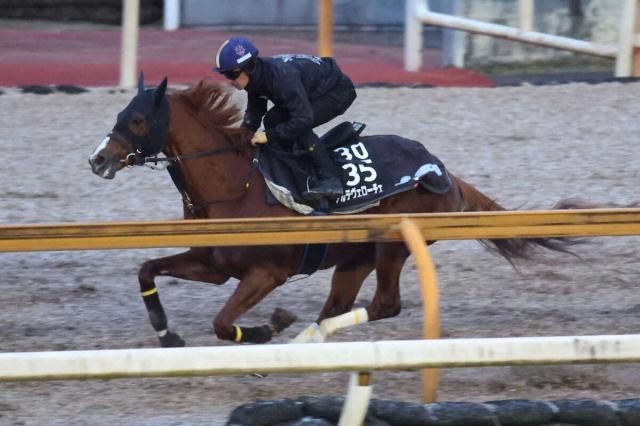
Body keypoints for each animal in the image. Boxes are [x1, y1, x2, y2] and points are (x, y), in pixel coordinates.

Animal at [87, 76, 572, 348]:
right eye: (120, 112)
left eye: (137, 120)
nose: (98, 159)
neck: (234, 187)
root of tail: (443, 169)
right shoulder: (214, 264)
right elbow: (147, 270)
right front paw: (166, 333)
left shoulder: (266, 272)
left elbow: (223, 323)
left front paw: (267, 328)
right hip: (353, 257)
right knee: (335, 308)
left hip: (392, 246)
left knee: (385, 304)